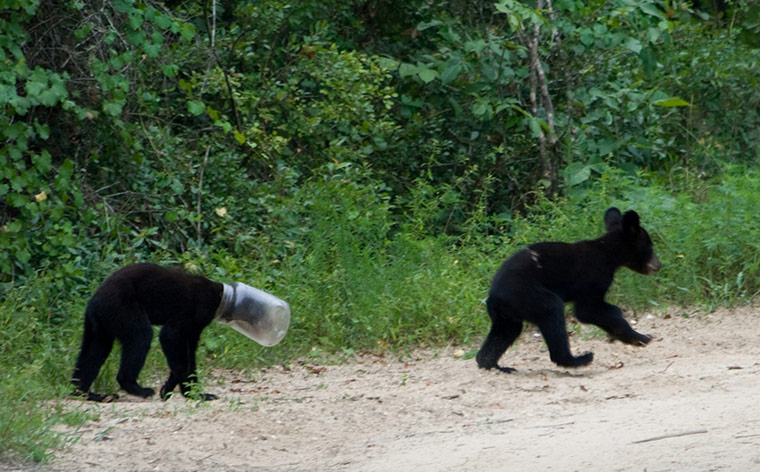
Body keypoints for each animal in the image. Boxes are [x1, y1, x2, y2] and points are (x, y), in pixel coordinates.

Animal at [71, 263, 223, 402]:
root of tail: (94, 300)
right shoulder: (196, 309)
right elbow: (169, 335)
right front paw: (175, 388)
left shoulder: (195, 326)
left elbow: (189, 352)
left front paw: (192, 393)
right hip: (122, 306)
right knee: (140, 336)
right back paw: (139, 389)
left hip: (100, 323)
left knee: (94, 350)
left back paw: (87, 393)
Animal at [476, 207, 662, 372]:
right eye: (650, 246)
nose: (659, 264)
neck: (608, 252)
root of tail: (493, 297)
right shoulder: (594, 276)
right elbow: (587, 310)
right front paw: (641, 337)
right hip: (527, 295)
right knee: (552, 311)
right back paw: (578, 359)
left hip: (508, 314)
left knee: (505, 332)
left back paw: (495, 366)